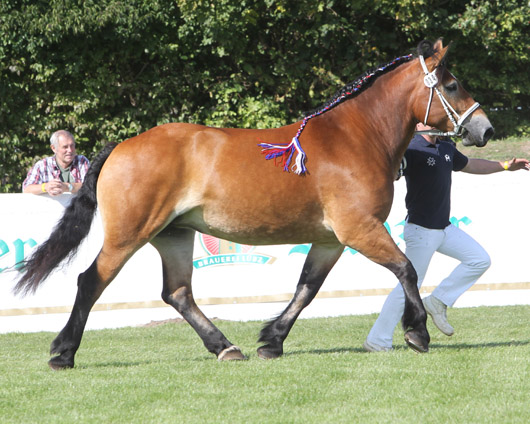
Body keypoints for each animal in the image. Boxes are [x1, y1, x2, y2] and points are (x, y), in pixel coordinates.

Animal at [15, 40, 490, 372]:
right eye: (451, 85)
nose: (484, 129)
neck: (355, 136)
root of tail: (123, 145)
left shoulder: (332, 239)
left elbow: (306, 288)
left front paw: (272, 341)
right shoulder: (360, 229)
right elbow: (407, 270)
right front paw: (418, 333)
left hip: (174, 235)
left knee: (178, 293)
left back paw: (225, 347)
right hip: (128, 234)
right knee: (91, 281)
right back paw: (63, 353)